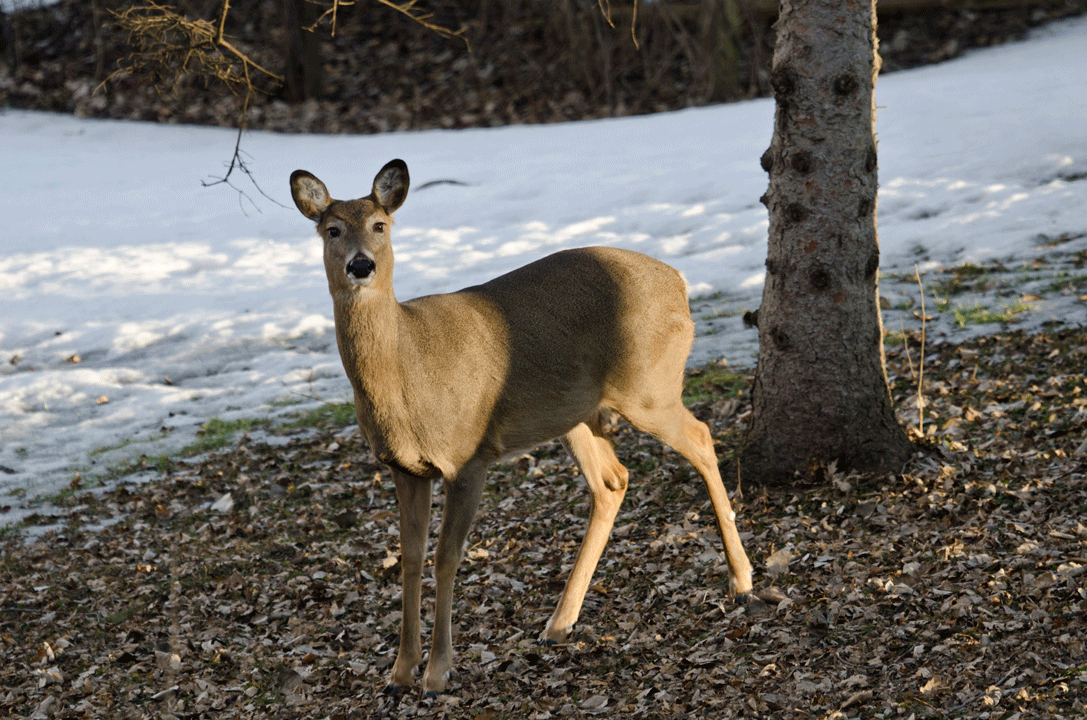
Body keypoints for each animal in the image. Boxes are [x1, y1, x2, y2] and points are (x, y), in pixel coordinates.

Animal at [284, 160, 752, 696]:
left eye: (380, 226)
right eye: (332, 229)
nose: (361, 265)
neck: (407, 371)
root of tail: (680, 281)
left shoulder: (469, 457)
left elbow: (446, 556)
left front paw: (438, 670)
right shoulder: (405, 467)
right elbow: (409, 557)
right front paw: (400, 671)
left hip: (649, 387)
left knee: (701, 438)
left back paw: (742, 580)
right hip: (573, 412)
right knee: (613, 480)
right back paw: (559, 623)